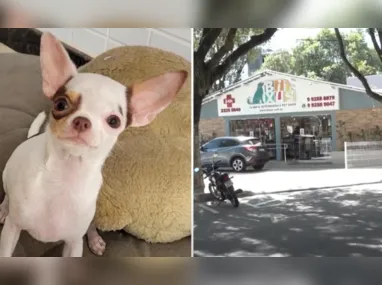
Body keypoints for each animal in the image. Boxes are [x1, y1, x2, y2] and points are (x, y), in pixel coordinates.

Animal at [0, 32, 187, 256]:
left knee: (90, 225)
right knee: (7, 194)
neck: (65, 177)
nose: (82, 121)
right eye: (60, 104)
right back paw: (4, 207)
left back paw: (95, 238)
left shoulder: (73, 243)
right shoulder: (13, 229)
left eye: (114, 121)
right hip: (8, 178)